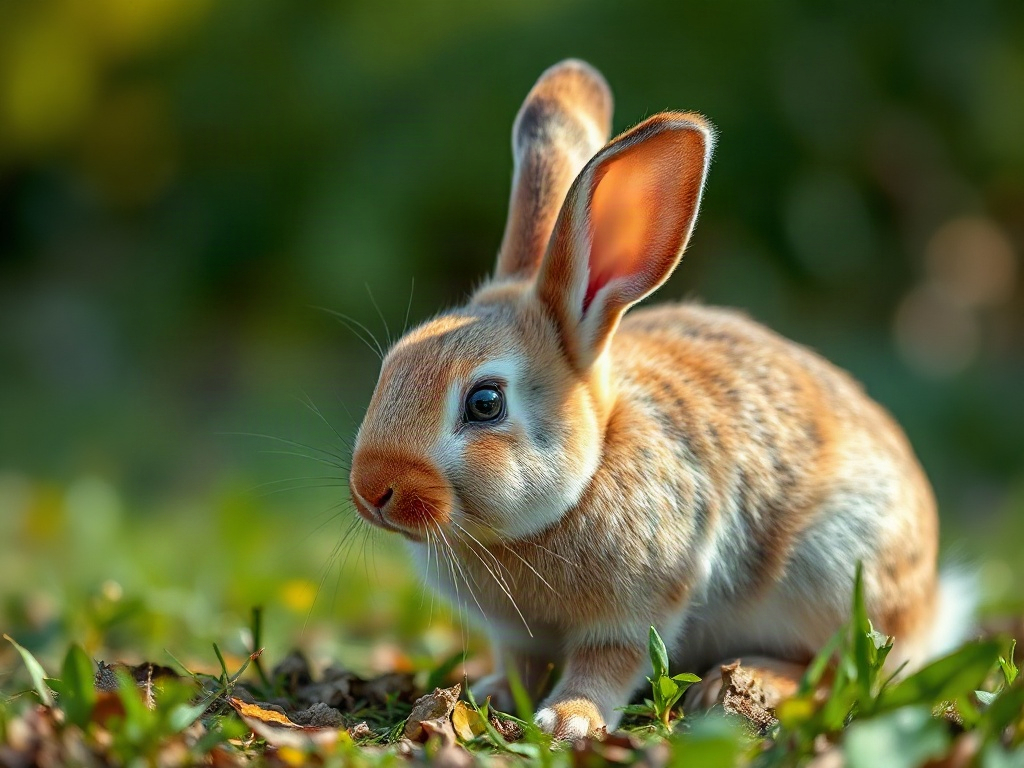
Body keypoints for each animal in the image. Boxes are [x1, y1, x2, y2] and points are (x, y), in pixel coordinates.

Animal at [347, 59, 971, 740]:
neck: (588, 472)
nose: (372, 488)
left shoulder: (640, 605)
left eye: (485, 403)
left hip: (835, 571)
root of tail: (929, 607)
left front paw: (569, 719)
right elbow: (520, 659)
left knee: (842, 666)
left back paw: (743, 685)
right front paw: (488, 698)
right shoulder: (519, 635)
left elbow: (608, 662)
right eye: (391, 366)